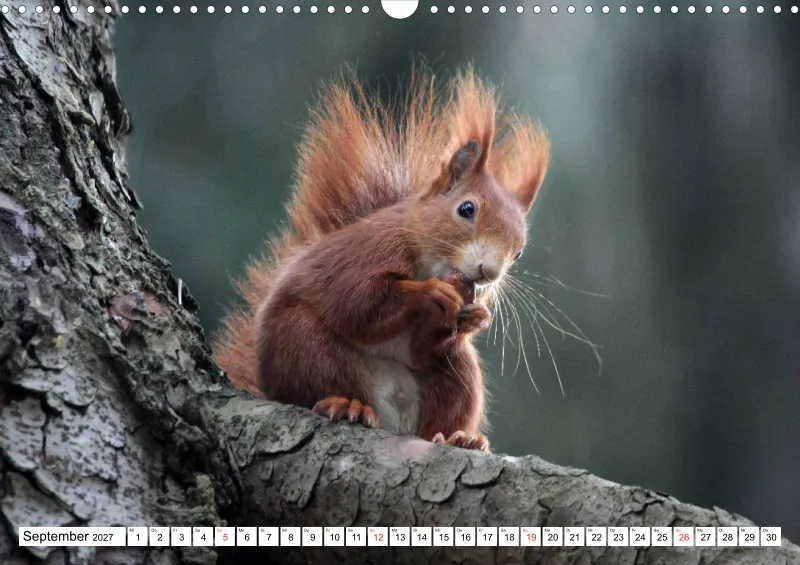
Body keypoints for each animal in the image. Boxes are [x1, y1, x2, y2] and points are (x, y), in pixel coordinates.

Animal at [214, 66, 550, 451]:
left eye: (519, 251)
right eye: (466, 209)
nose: (489, 272)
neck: (428, 260)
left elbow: (424, 350)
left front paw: (475, 318)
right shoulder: (367, 252)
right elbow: (358, 302)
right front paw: (428, 293)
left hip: (459, 376)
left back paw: (458, 438)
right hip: (303, 344)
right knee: (317, 383)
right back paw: (346, 405)